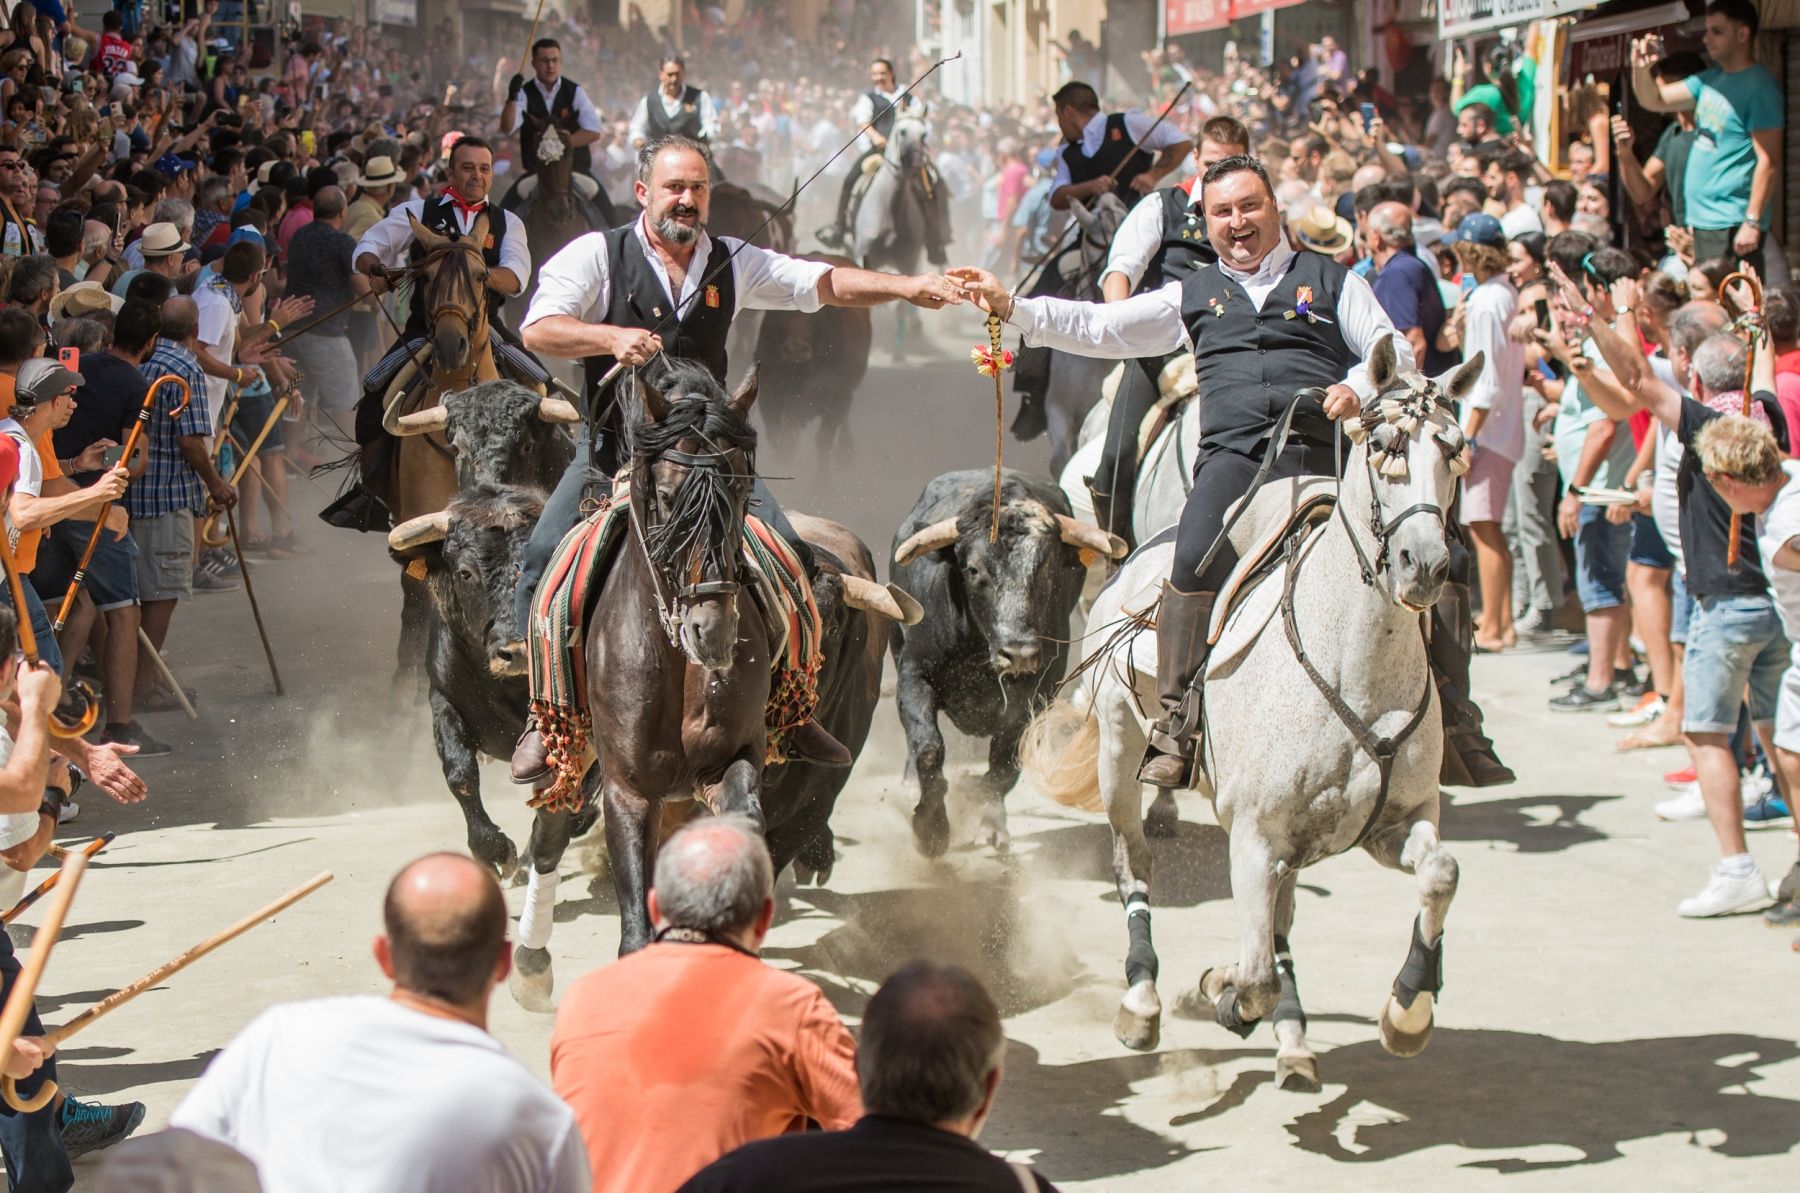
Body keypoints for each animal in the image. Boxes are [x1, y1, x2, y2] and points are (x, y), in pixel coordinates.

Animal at [590, 359, 774, 957]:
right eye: (669, 498)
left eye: (742, 491)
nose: (711, 632)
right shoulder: (626, 790)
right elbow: (634, 928)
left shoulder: (728, 759)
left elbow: (742, 819)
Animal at [1022, 343, 1483, 1094]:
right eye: (1383, 446)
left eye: (1456, 450)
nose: (1425, 565)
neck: (1353, 661)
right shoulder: (1256, 835)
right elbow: (1259, 969)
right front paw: (1222, 989)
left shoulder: (1395, 821)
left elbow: (1440, 873)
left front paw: (1407, 1009)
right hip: (1120, 754)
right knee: (1134, 862)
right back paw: (1143, 999)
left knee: (1280, 918)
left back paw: (1290, 1039)